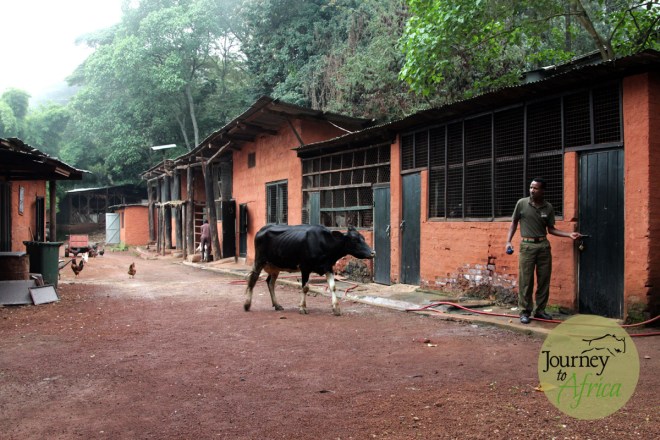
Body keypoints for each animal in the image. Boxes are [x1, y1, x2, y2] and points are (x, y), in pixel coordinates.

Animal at [244, 224, 375, 316]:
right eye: (355, 240)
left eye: (363, 238)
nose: (373, 252)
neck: (324, 243)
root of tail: (263, 228)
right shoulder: (305, 267)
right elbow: (305, 287)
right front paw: (302, 307)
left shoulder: (328, 267)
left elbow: (333, 287)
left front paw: (336, 308)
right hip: (259, 260)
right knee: (253, 280)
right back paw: (247, 305)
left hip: (275, 266)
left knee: (270, 282)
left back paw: (277, 305)